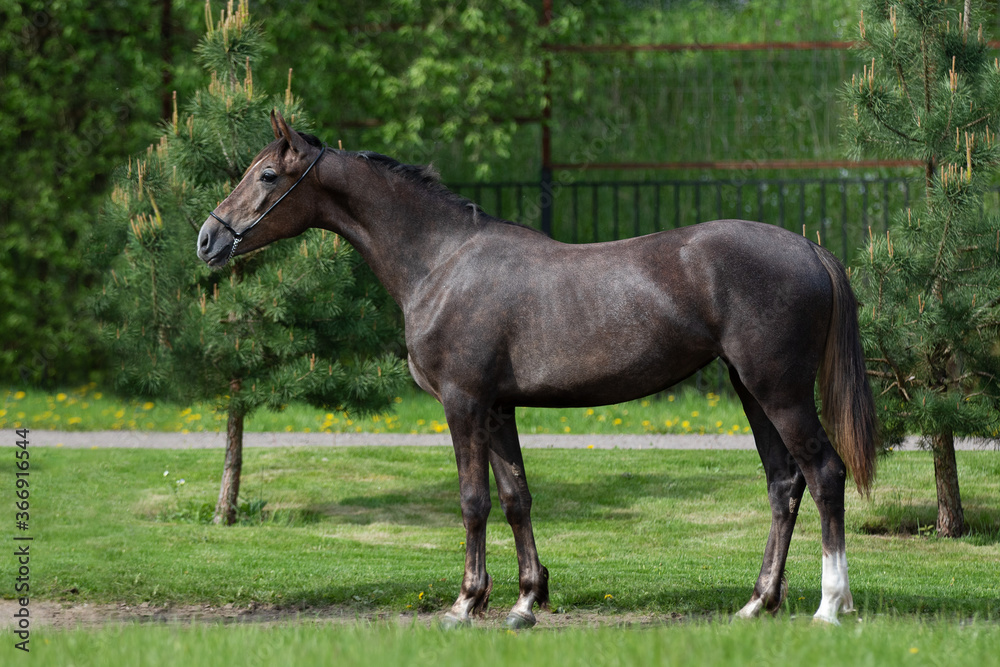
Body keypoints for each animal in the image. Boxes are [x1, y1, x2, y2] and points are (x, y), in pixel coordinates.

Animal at [201, 112, 876, 628]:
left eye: (267, 174)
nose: (208, 238)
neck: (441, 261)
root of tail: (809, 248)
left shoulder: (463, 402)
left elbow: (473, 501)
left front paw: (465, 603)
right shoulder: (498, 408)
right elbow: (516, 498)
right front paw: (525, 601)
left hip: (780, 391)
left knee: (824, 473)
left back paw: (829, 606)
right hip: (750, 390)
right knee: (783, 484)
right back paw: (758, 603)